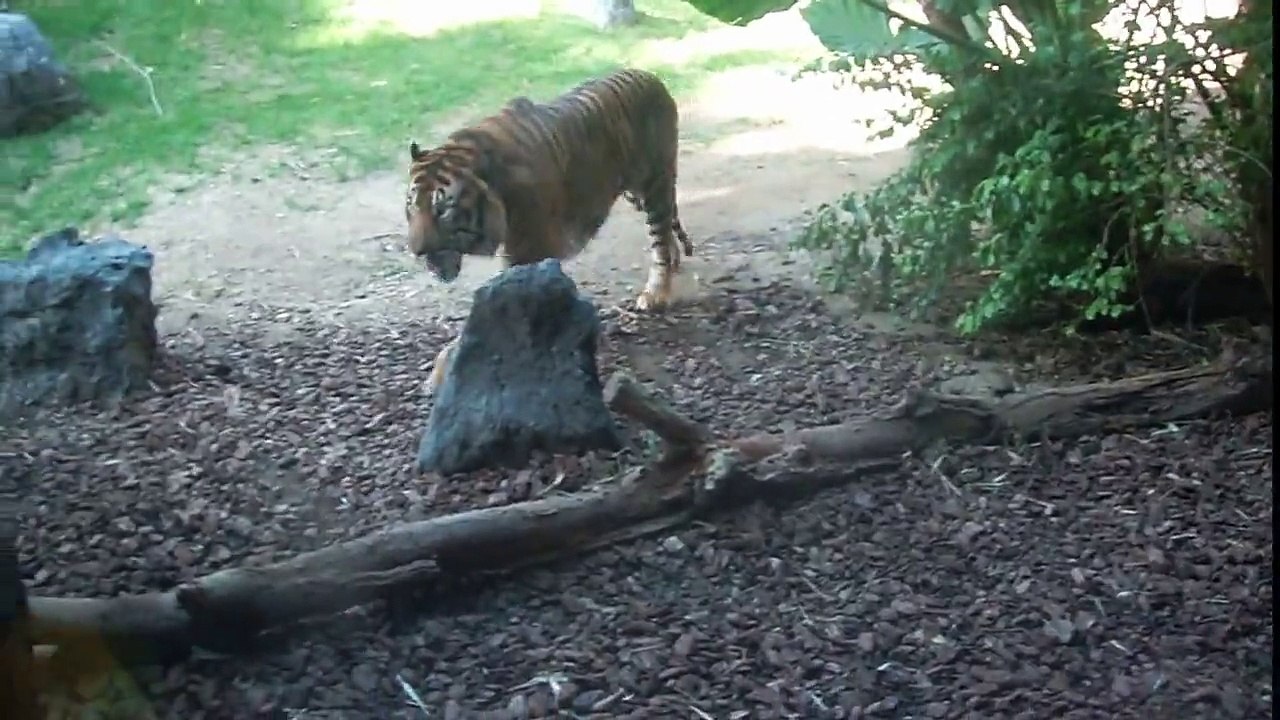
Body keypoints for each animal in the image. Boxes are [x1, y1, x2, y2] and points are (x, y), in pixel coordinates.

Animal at [403, 67, 695, 391]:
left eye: (443, 209)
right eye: (412, 204)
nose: (416, 251)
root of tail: (650, 75)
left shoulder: (524, 254)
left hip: (655, 185)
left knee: (660, 239)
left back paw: (656, 293)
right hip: (638, 194)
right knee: (666, 230)